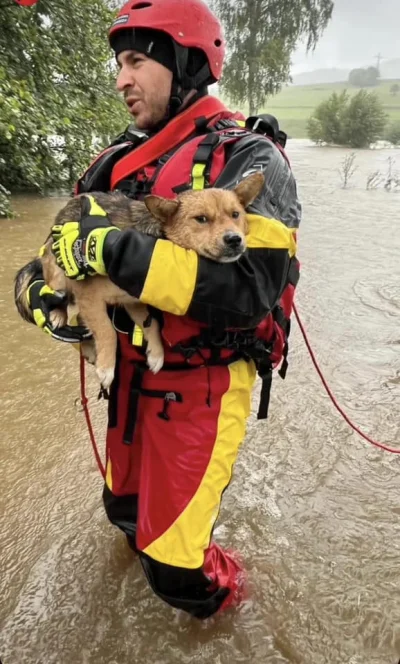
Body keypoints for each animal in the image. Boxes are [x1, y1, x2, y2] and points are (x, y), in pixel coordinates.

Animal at [15, 172, 264, 390]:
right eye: (201, 219)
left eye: (235, 214)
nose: (234, 239)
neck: (158, 236)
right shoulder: (89, 296)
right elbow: (107, 330)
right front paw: (107, 368)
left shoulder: (133, 301)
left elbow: (151, 325)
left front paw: (156, 354)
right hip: (57, 270)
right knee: (61, 299)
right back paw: (58, 315)